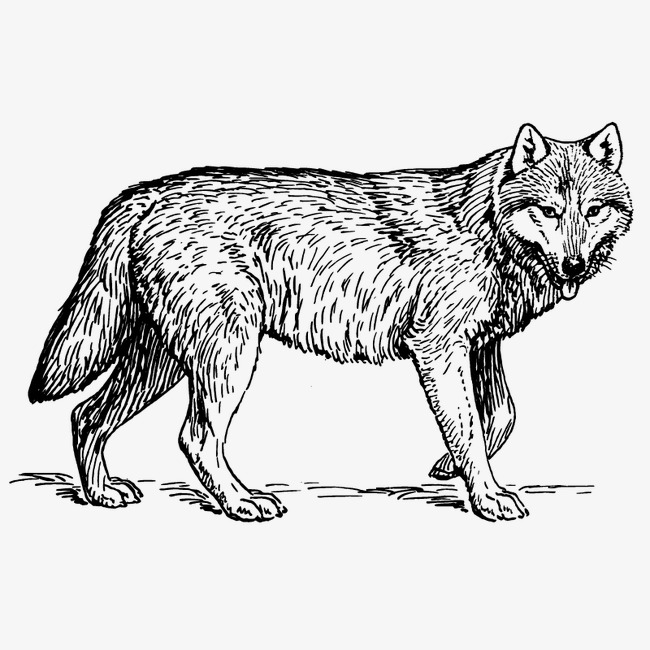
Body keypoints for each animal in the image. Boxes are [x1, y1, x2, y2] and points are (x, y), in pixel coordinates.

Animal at [29, 123, 632, 521]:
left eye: (594, 210)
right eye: (549, 211)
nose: (575, 265)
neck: (485, 227)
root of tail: (143, 195)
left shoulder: (481, 347)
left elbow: (498, 418)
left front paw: (448, 469)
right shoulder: (440, 350)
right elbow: (469, 430)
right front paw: (486, 497)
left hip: (163, 362)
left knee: (87, 415)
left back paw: (102, 493)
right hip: (227, 358)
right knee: (195, 437)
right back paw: (241, 502)